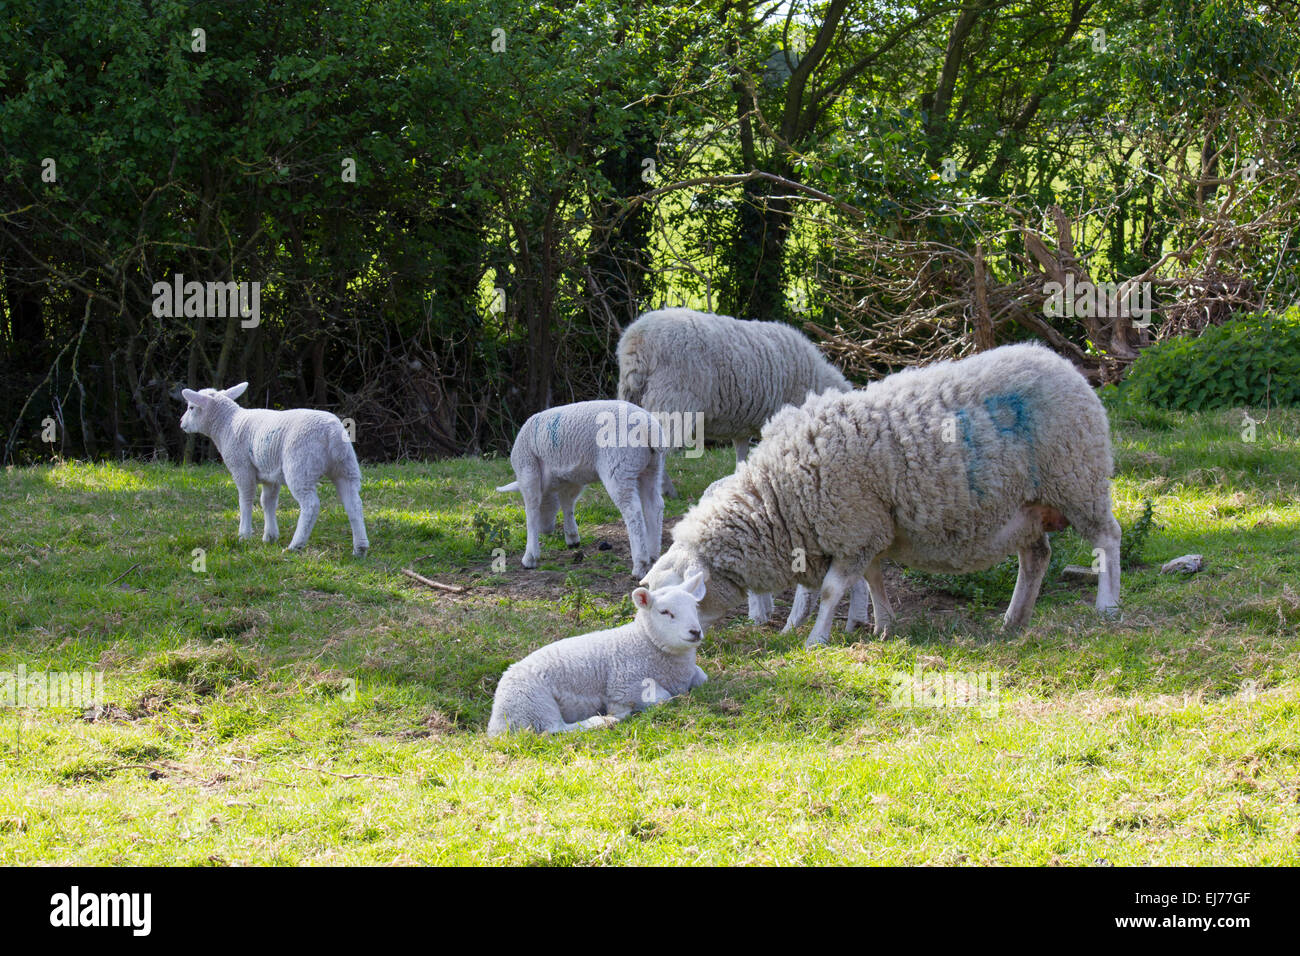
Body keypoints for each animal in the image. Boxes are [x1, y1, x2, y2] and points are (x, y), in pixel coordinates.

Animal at [178, 385, 371, 556]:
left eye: (191, 407)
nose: (181, 423)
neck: (227, 424)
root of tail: (332, 432)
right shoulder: (271, 475)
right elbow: (268, 502)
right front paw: (270, 536)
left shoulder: (242, 468)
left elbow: (245, 500)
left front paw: (244, 535)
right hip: (346, 467)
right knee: (354, 503)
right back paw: (360, 548)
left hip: (300, 467)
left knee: (311, 505)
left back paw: (295, 546)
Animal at [488, 572, 712, 738]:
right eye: (665, 612)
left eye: (695, 607)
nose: (695, 632)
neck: (644, 642)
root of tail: (496, 724)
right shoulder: (626, 685)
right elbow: (664, 698)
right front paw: (618, 709)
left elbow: (702, 677)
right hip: (533, 703)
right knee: (554, 730)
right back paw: (605, 720)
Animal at [493, 403, 665, 580]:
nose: (545, 530)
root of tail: (649, 427)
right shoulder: (571, 478)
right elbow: (567, 504)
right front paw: (572, 537)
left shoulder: (528, 470)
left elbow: (532, 511)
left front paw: (530, 556)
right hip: (652, 467)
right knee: (654, 506)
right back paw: (653, 556)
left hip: (619, 465)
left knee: (633, 512)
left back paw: (640, 564)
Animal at [618, 310, 852, 496]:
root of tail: (636, 339)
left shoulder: (743, 424)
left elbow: (741, 452)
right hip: (672, 401)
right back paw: (665, 490)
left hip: (633, 398)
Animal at [639, 340, 1118, 647]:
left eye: (678, 602)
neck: (776, 497)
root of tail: (1063, 363)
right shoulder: (867, 530)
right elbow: (872, 581)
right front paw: (884, 626)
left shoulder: (853, 526)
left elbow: (833, 590)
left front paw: (817, 639)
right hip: (1026, 508)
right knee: (1036, 558)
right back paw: (1014, 621)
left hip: (1079, 481)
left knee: (1107, 539)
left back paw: (1107, 607)